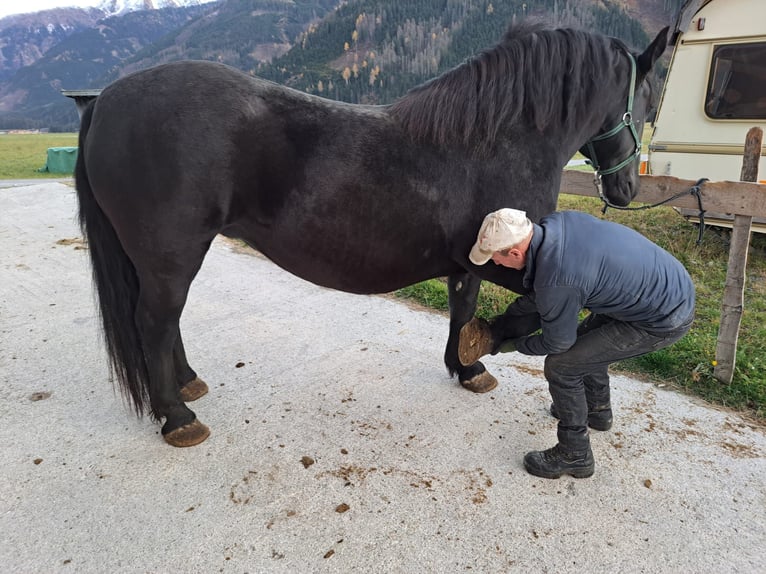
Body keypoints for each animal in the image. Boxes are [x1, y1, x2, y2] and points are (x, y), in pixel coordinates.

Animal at [75, 22, 668, 448]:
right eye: (649, 99)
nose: (627, 191)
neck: (497, 139)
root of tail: (106, 98)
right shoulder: (520, 263)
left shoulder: (470, 261)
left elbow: (462, 307)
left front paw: (465, 366)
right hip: (170, 255)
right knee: (155, 322)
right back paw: (178, 417)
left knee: (165, 321)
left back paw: (187, 383)